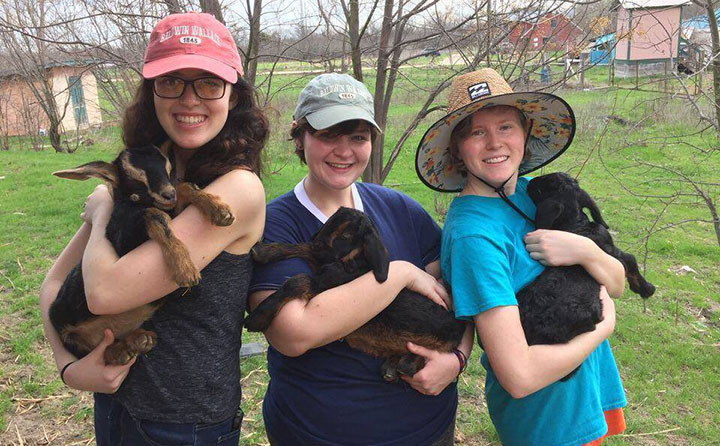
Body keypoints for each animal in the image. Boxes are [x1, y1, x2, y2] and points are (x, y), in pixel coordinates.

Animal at [48, 146, 233, 366]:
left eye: (168, 166)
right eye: (134, 176)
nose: (167, 194)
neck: (131, 204)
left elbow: (185, 187)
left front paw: (221, 212)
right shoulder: (123, 243)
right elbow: (156, 215)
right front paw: (186, 270)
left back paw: (140, 340)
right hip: (68, 334)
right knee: (91, 353)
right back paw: (123, 350)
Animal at [245, 207, 464, 382]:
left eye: (346, 236)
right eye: (328, 223)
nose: (318, 242)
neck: (354, 262)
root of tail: (460, 323)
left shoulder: (326, 283)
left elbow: (296, 281)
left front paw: (256, 319)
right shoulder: (322, 261)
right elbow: (301, 247)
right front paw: (263, 252)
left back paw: (403, 365)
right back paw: (391, 368)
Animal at [520, 172, 656, 378]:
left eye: (541, 187)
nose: (530, 183)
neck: (576, 224)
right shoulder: (613, 254)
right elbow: (631, 260)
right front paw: (646, 288)